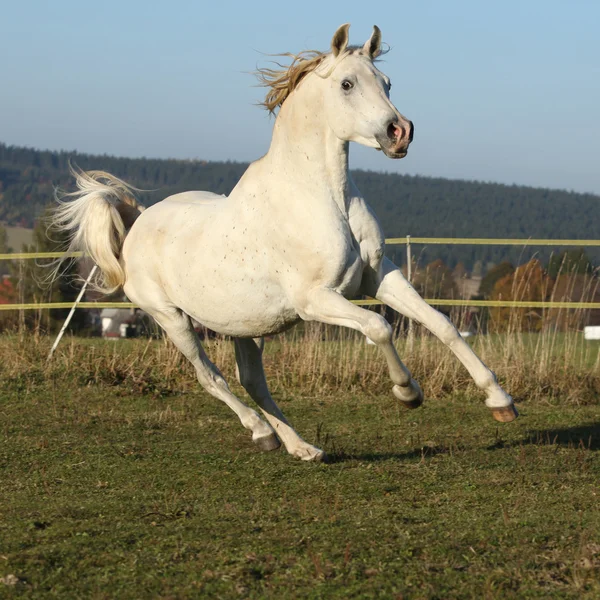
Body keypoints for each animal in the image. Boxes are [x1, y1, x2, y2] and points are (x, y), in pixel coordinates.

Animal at [54, 25, 516, 462]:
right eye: (347, 84)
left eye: (387, 82)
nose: (399, 132)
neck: (323, 196)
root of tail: (138, 221)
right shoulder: (315, 299)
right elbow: (378, 327)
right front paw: (408, 393)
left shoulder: (379, 277)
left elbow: (441, 323)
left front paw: (500, 401)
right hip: (171, 318)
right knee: (211, 377)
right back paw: (261, 432)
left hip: (244, 325)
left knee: (253, 380)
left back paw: (299, 447)